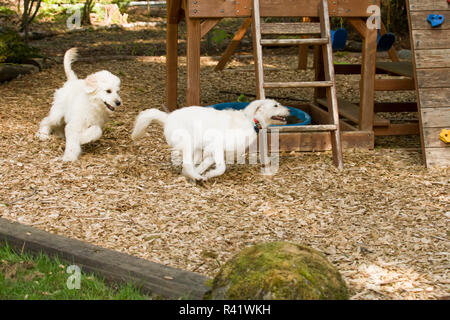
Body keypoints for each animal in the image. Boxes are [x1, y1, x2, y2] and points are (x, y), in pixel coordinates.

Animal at [132, 99, 290, 180]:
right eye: (275, 105)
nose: (289, 110)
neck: (251, 121)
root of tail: (168, 117)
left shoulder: (212, 152)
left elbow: (205, 165)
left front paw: (202, 173)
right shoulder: (216, 146)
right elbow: (221, 168)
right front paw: (208, 175)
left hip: (195, 148)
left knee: (189, 164)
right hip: (189, 142)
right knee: (187, 164)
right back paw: (196, 177)